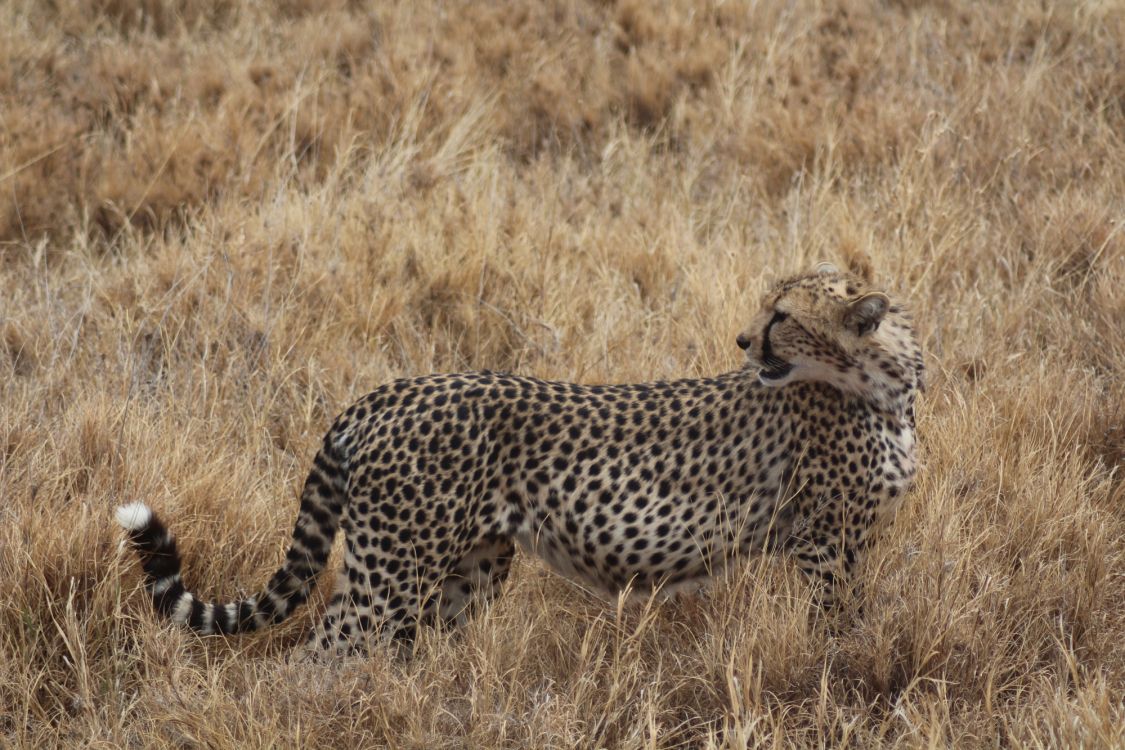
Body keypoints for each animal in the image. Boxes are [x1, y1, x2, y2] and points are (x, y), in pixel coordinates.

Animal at [116, 263, 922, 652]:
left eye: (782, 316)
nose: (743, 341)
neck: (886, 385)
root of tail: (387, 391)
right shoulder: (825, 544)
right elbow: (839, 629)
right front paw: (844, 673)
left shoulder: (835, 542)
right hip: (394, 568)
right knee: (323, 655)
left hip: (471, 567)